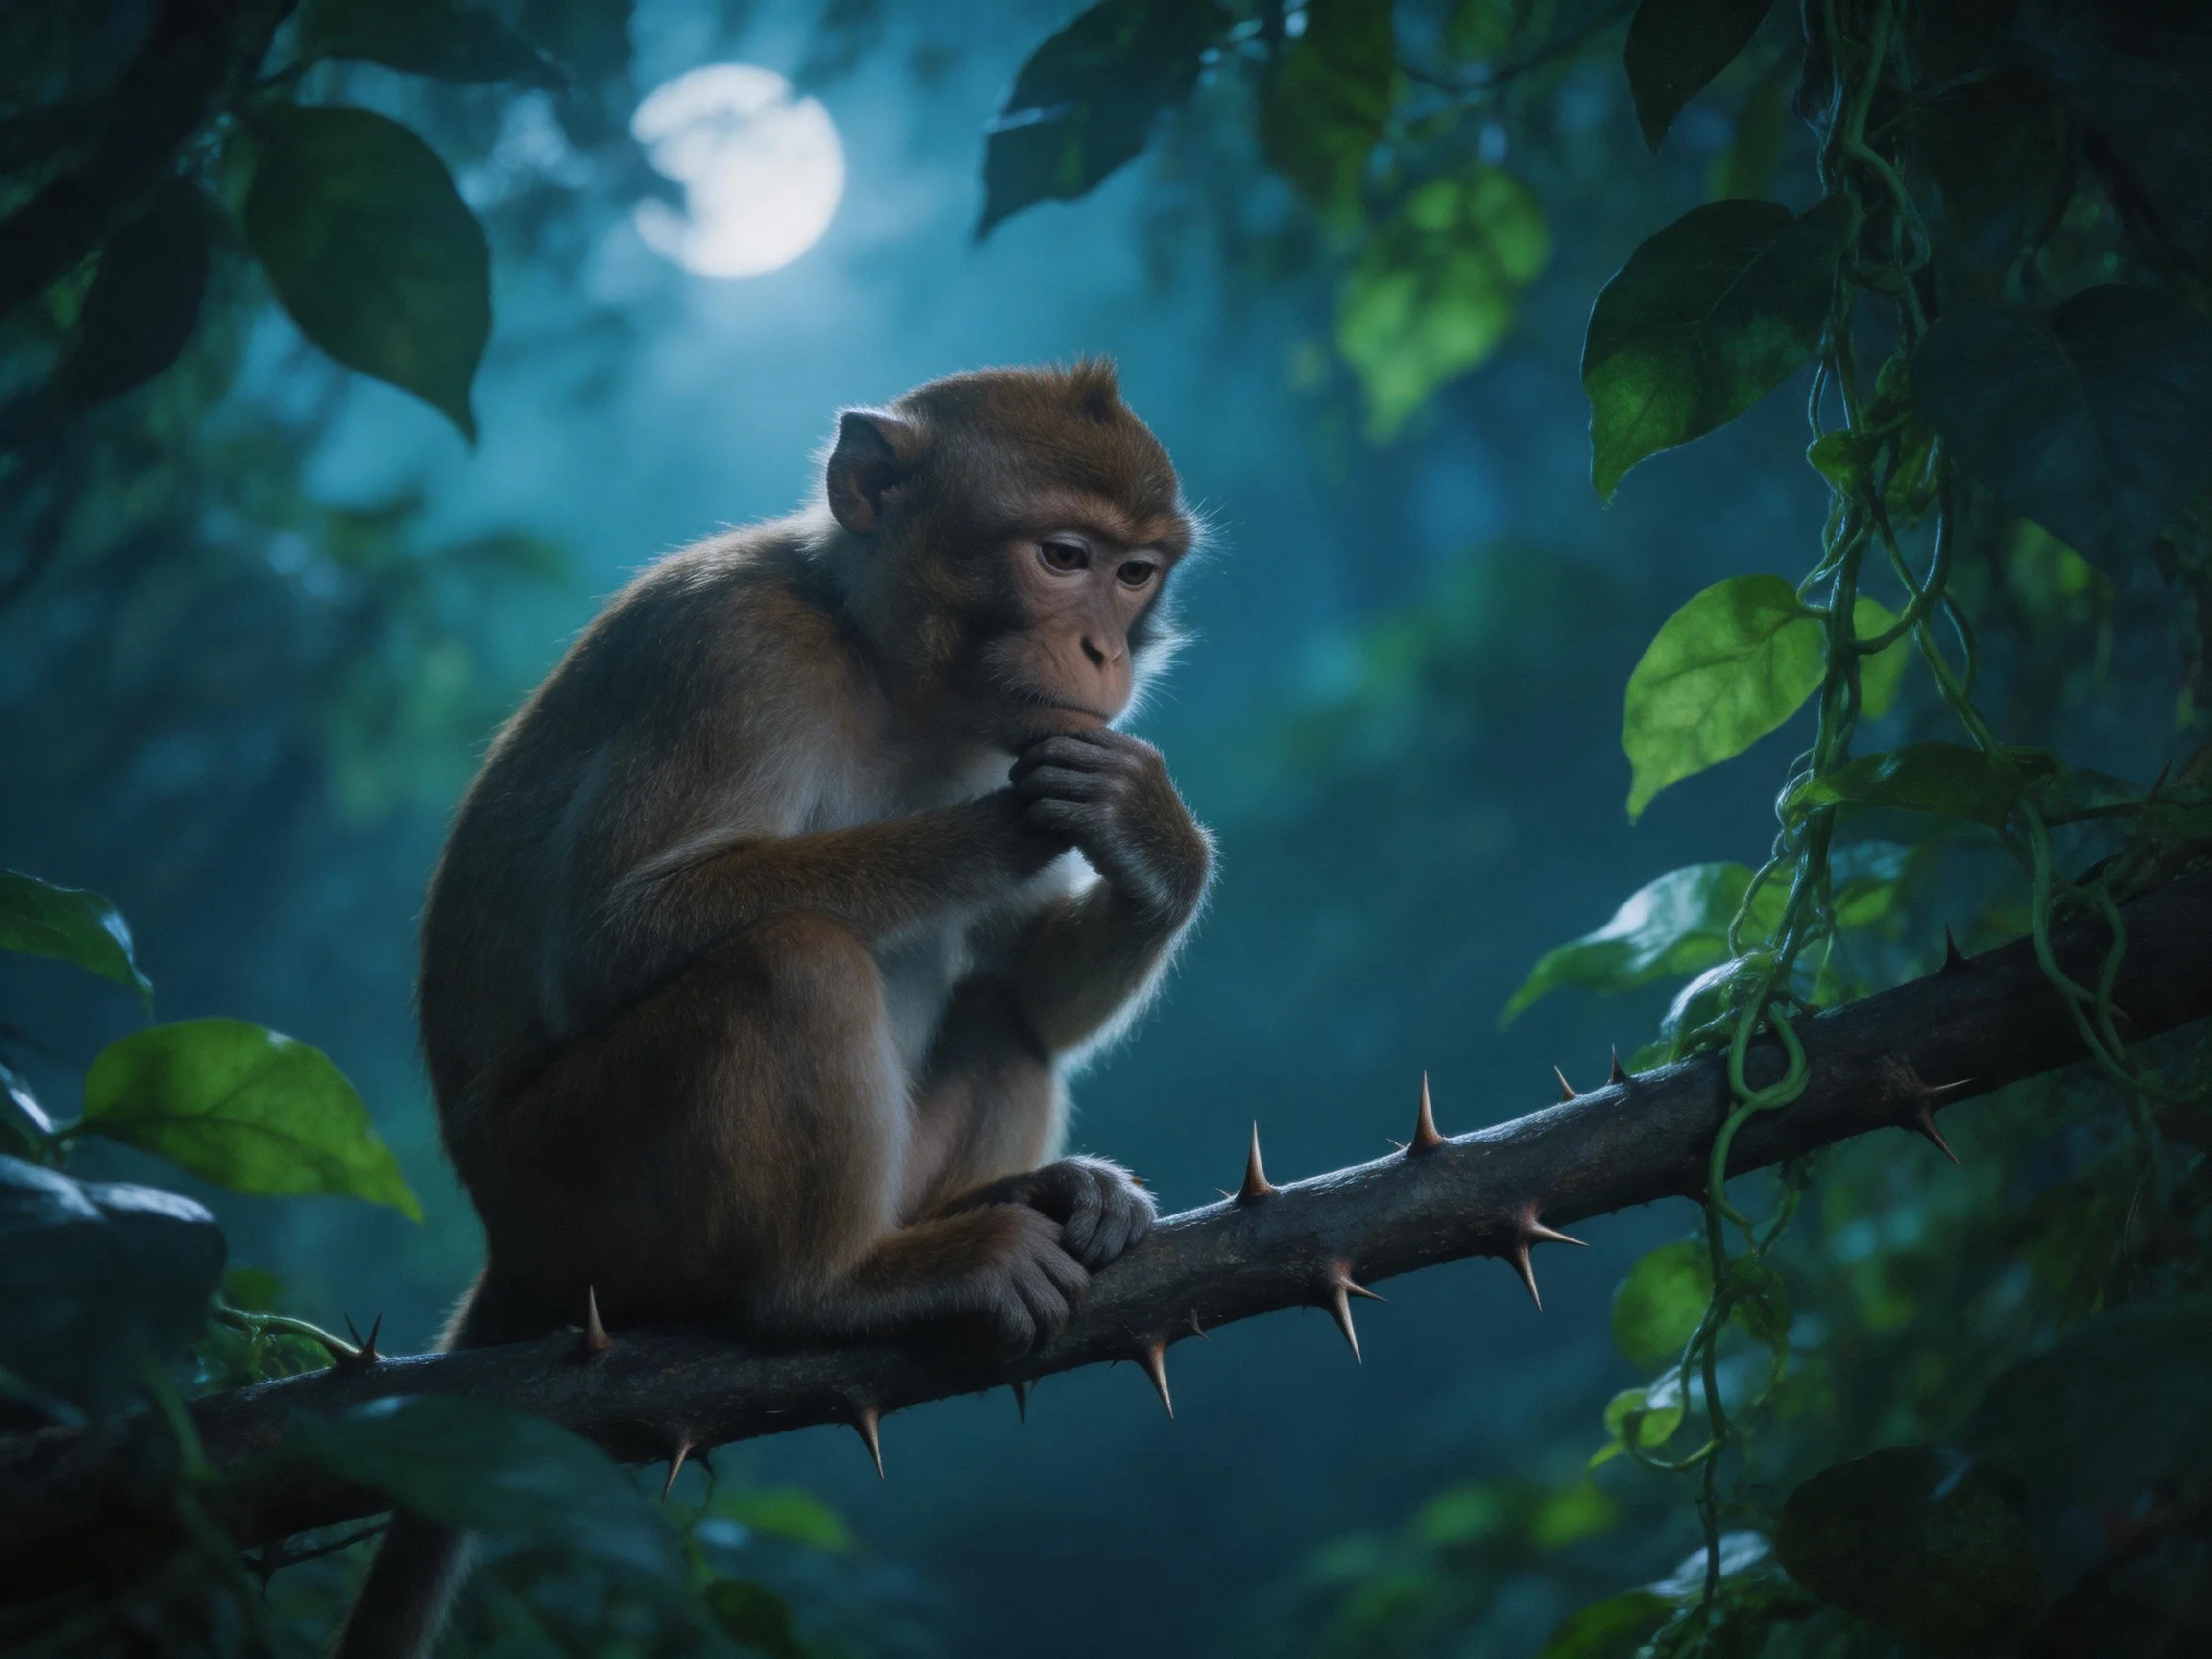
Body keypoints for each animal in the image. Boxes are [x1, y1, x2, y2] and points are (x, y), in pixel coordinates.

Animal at [336, 361, 1212, 1659]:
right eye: (1064, 556)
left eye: (1136, 571)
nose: (1106, 647)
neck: (883, 668)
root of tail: (509, 1241)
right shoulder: (737, 651)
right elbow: (613, 934)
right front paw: (998, 831)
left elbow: (1027, 990)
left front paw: (1150, 833)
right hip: (585, 1190)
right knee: (793, 961)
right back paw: (834, 1285)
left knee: (997, 1016)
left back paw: (1012, 1203)